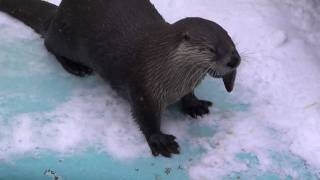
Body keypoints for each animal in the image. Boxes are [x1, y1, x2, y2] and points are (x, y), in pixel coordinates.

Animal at [0, 0, 240, 158]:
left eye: (231, 42)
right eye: (212, 49)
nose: (235, 60)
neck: (169, 74)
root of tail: (58, 12)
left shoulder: (184, 86)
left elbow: (189, 95)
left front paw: (194, 105)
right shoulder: (144, 88)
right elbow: (145, 117)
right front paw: (159, 140)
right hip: (65, 37)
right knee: (49, 44)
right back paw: (75, 67)